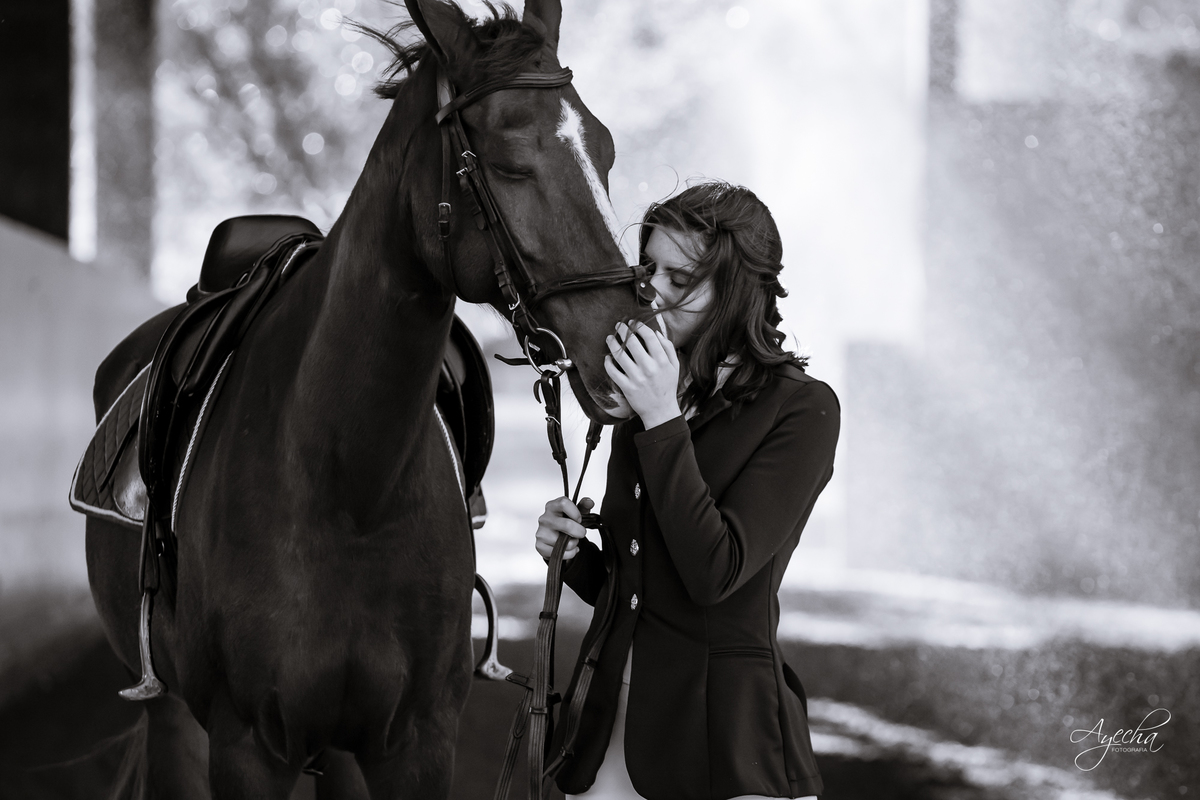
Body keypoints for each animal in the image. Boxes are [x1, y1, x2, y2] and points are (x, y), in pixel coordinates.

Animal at [83, 0, 641, 796]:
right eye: (508, 162)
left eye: (605, 151)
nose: (631, 343)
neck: (347, 482)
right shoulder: (244, 747)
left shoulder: (415, 742)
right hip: (174, 719)